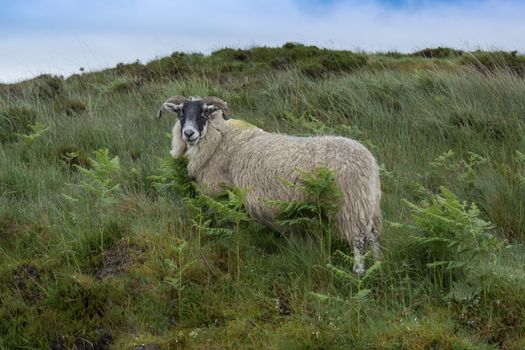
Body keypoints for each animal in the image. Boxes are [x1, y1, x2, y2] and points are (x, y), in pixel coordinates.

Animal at [157, 95, 380, 274]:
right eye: (181, 114)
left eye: (204, 113)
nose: (188, 133)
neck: (221, 139)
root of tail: (367, 161)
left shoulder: (221, 192)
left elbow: (228, 223)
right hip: (368, 203)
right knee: (373, 235)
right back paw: (379, 264)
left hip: (348, 203)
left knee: (359, 238)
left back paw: (359, 271)